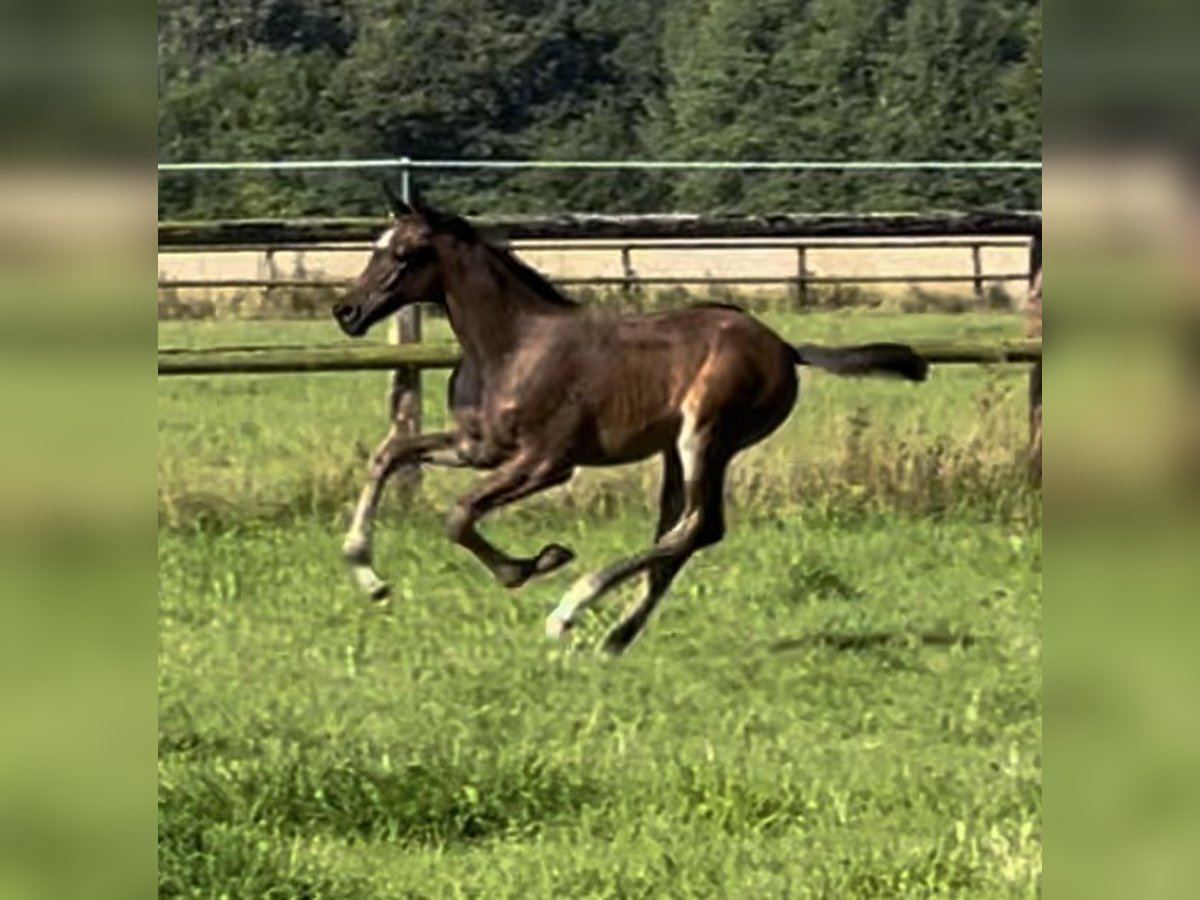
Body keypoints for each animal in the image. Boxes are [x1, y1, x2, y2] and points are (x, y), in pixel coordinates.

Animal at [336, 196, 926, 652]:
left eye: (404, 253)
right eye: (374, 245)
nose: (347, 311)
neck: (513, 346)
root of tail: (785, 348)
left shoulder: (547, 463)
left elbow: (459, 514)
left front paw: (534, 564)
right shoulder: (476, 447)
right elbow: (390, 455)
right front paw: (369, 578)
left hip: (705, 435)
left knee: (700, 527)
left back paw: (571, 610)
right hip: (677, 452)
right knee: (679, 533)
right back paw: (616, 637)